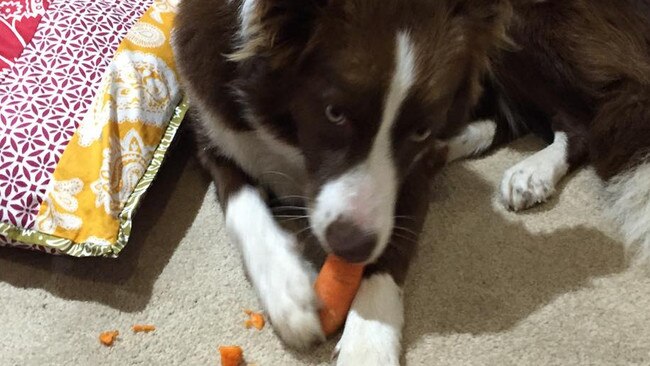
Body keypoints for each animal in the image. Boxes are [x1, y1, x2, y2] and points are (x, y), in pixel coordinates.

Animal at [172, 0, 648, 364]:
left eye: (420, 130)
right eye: (334, 113)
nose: (351, 248)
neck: (290, 137)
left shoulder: (411, 171)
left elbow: (393, 246)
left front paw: (368, 342)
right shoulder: (211, 131)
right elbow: (242, 207)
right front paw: (288, 293)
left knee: (579, 123)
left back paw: (533, 171)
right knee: (511, 117)